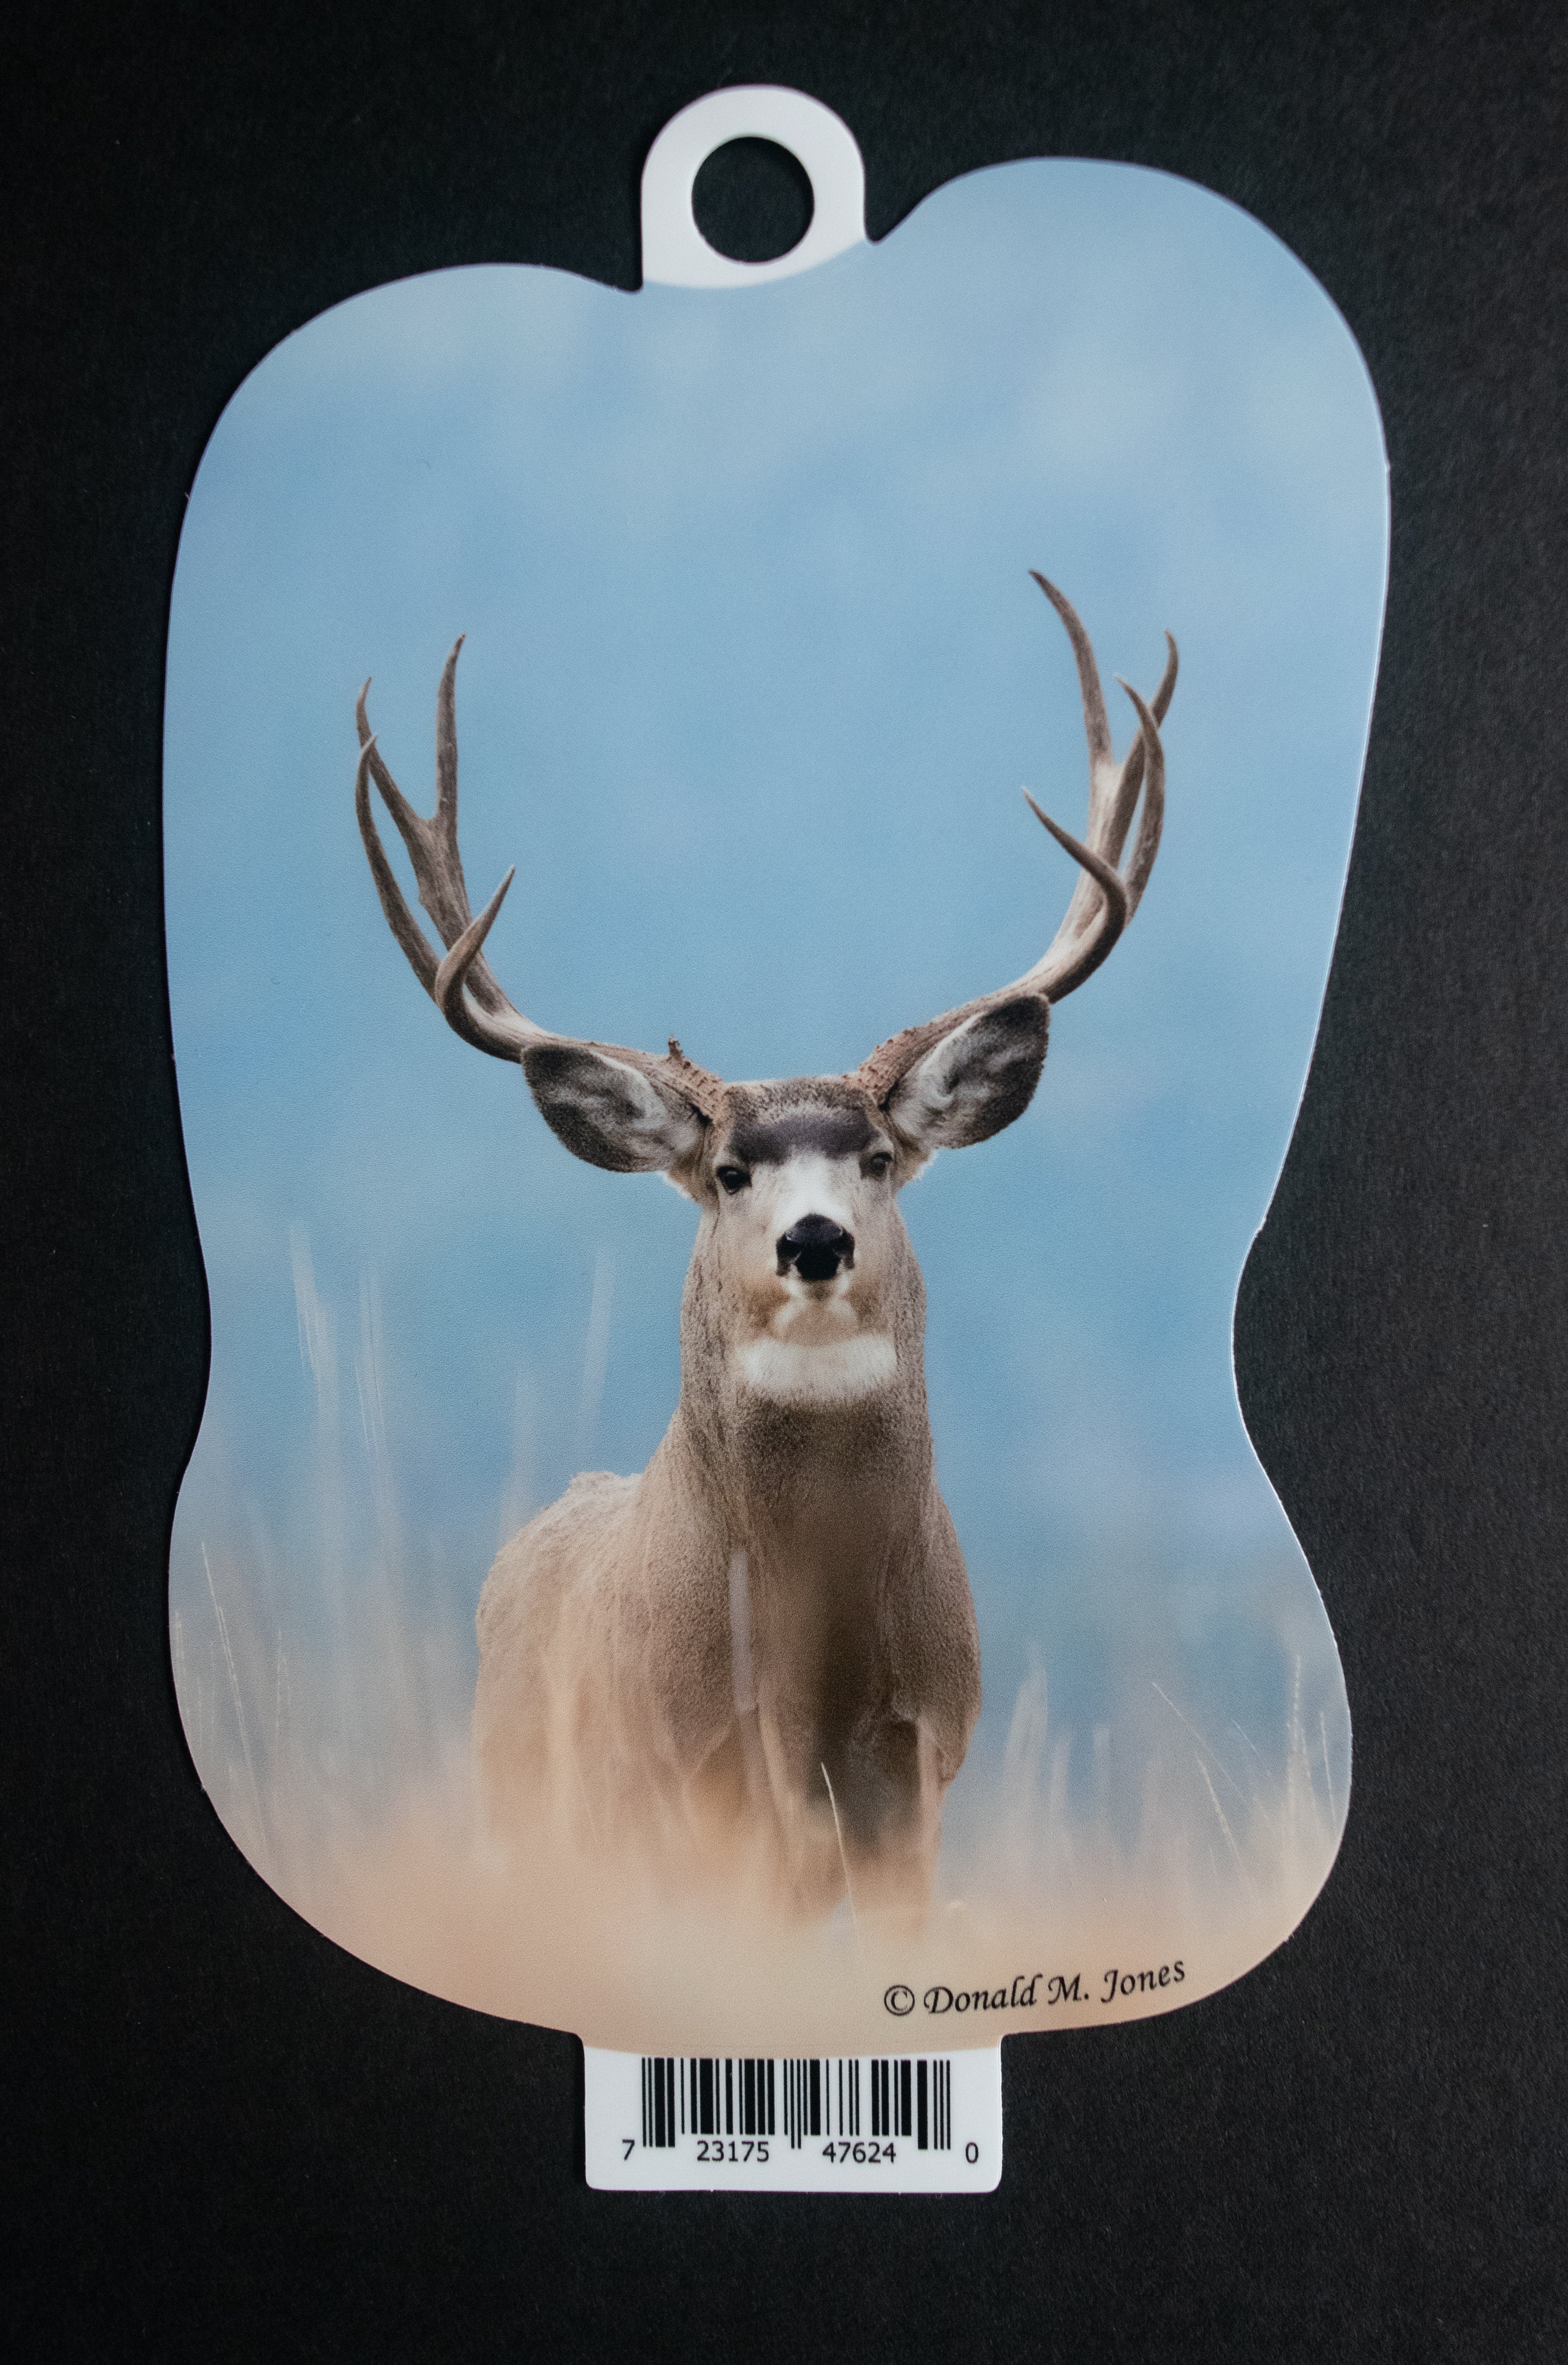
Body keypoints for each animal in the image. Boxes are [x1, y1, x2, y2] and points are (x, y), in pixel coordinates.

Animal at [353, 575, 1175, 1922]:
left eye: (878, 1157)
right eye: (728, 1173)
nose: (813, 1237)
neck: (812, 1673)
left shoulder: (918, 1772)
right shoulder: (699, 1786)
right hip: (539, 1815)